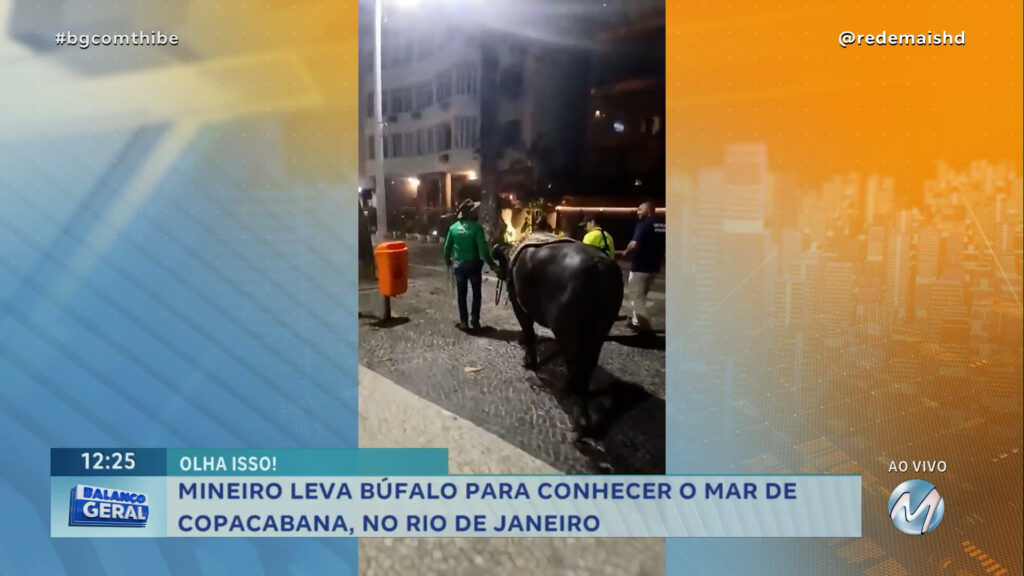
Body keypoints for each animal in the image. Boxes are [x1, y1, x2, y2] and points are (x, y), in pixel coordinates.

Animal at [493, 236, 626, 434]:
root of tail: (600, 269)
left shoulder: (517, 297)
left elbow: (526, 325)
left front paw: (528, 362)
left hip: (568, 323)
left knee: (577, 364)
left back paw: (579, 420)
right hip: (604, 321)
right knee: (589, 361)